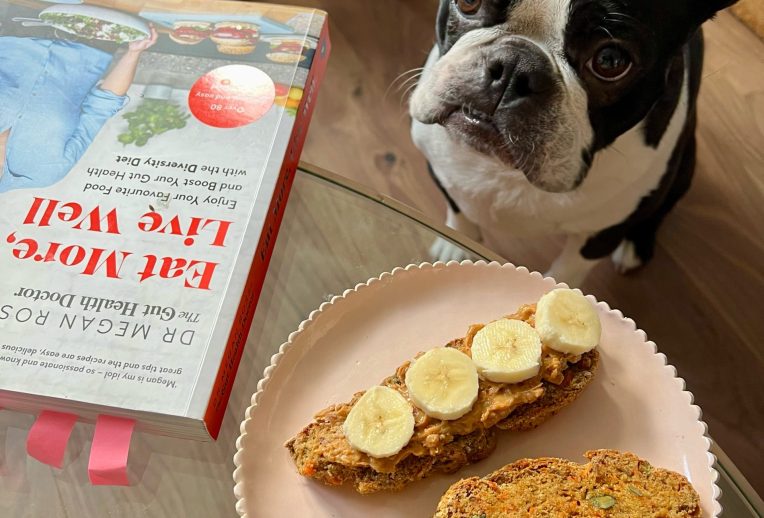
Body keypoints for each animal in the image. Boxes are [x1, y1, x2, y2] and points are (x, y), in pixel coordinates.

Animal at [412, 0, 740, 288]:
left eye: (610, 61)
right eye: (468, 2)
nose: (514, 66)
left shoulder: (605, 233)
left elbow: (569, 269)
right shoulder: (442, 173)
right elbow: (458, 212)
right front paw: (456, 250)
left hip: (684, 167)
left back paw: (635, 247)